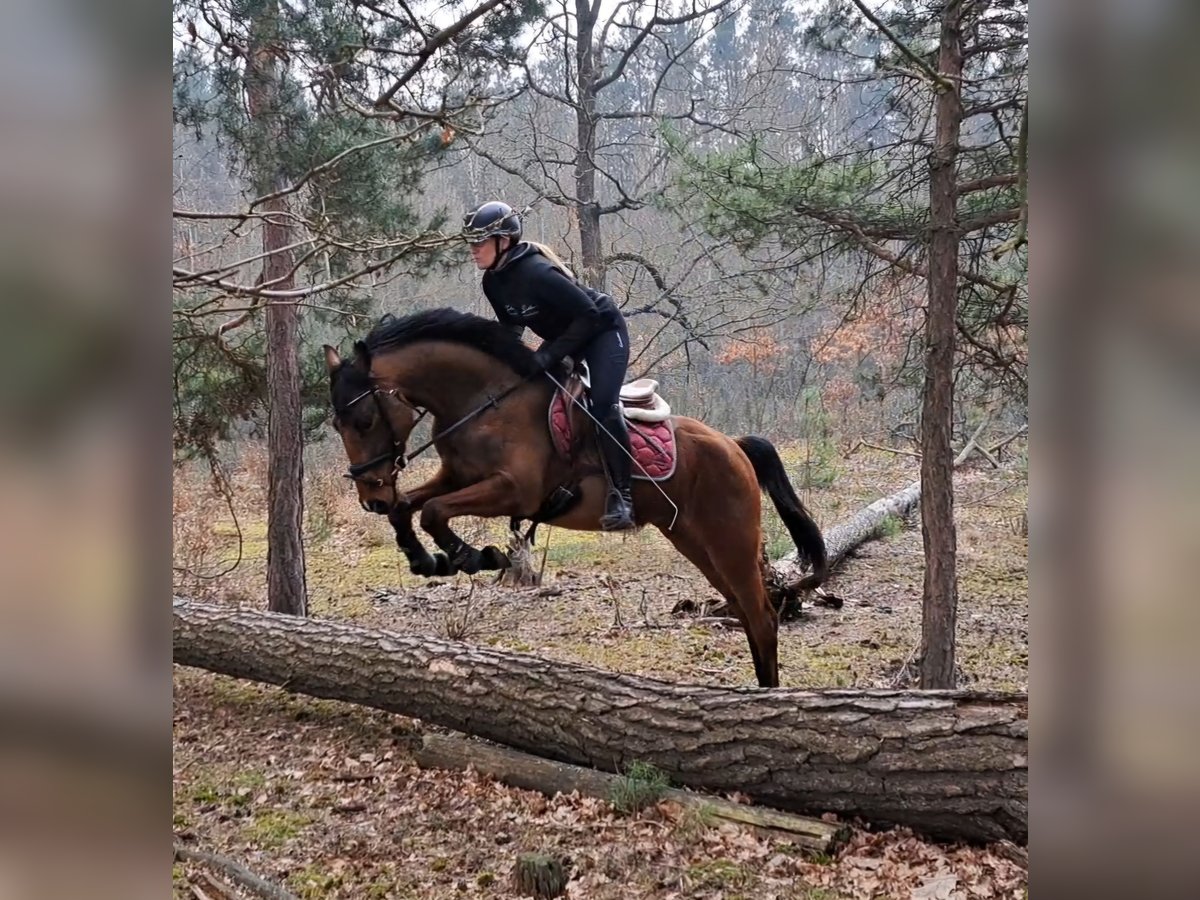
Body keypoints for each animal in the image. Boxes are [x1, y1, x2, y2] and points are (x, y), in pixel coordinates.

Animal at [328, 307, 830, 686]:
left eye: (365, 421)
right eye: (337, 424)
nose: (370, 497)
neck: (484, 401)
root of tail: (735, 446)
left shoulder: (513, 491)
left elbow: (432, 511)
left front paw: (475, 556)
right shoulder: (456, 476)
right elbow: (409, 508)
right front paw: (425, 559)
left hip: (730, 542)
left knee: (762, 617)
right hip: (695, 542)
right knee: (747, 612)